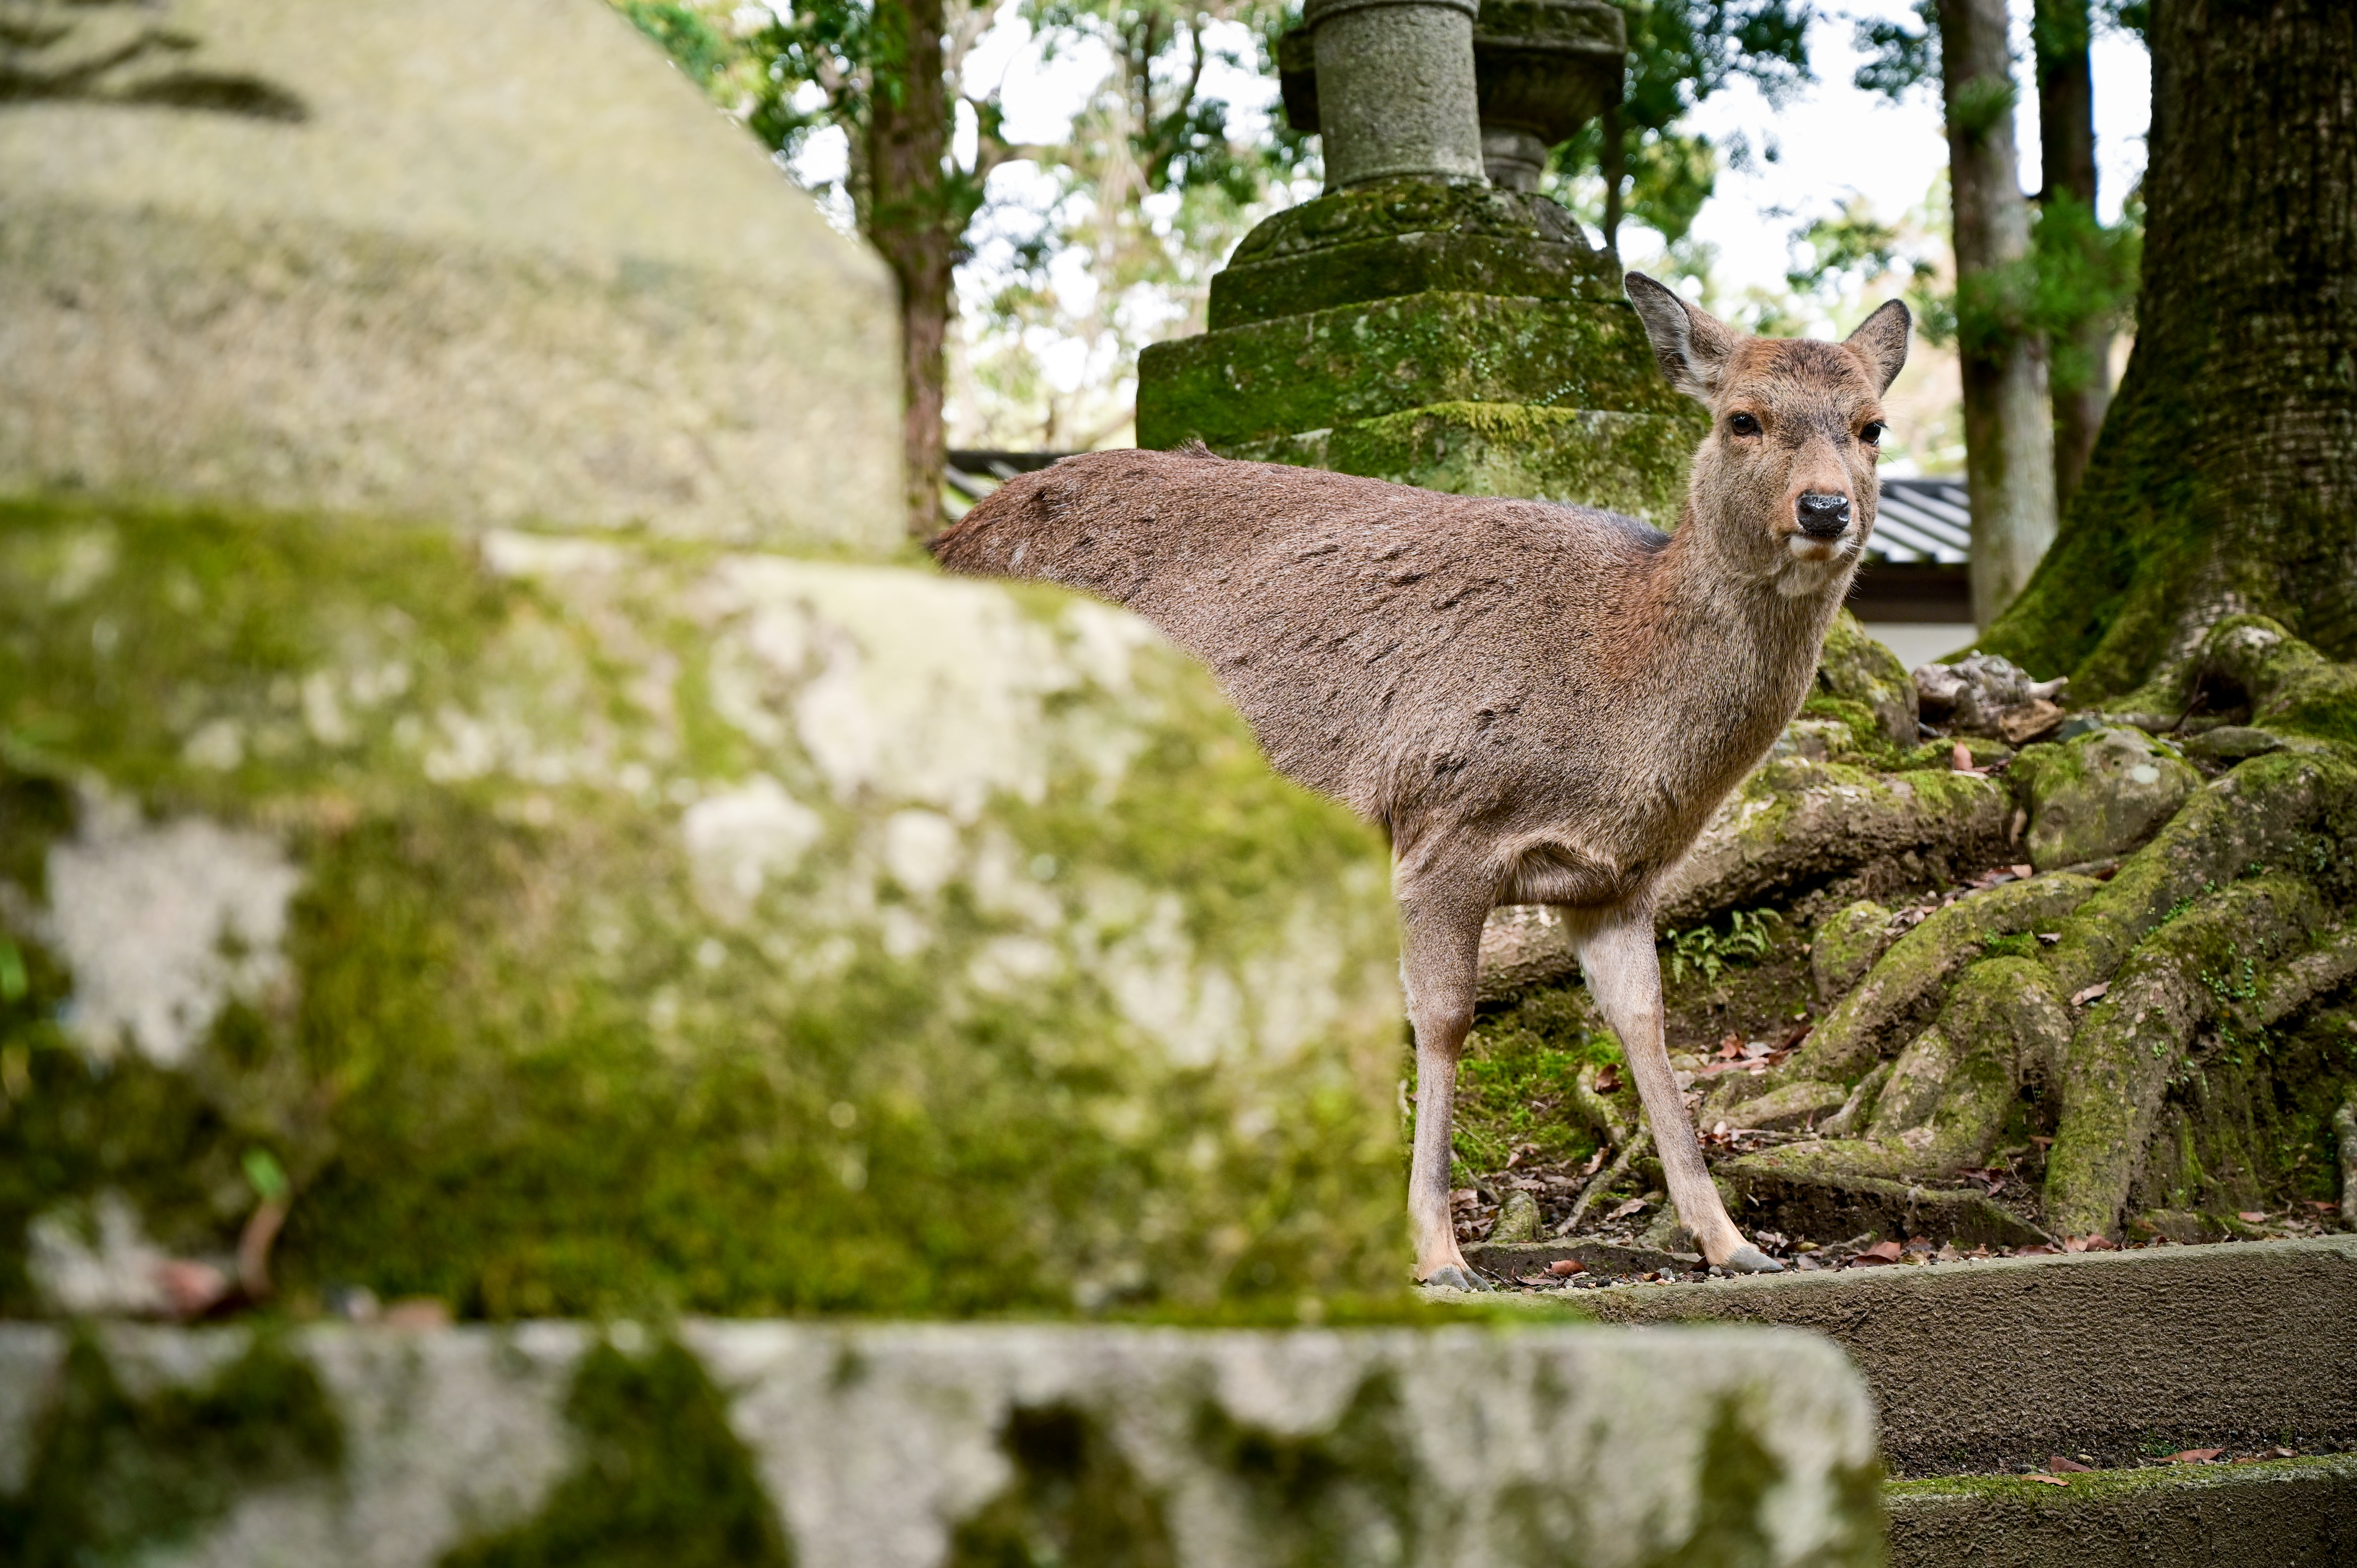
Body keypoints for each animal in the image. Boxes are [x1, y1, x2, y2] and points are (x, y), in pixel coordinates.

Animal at [928, 274, 1904, 1292]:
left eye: (1872, 424)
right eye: (1742, 418)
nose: (1825, 509)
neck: (1621, 698)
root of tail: (940, 543)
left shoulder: (1616, 880)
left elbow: (1645, 1026)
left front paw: (1734, 1240)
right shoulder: (1448, 824)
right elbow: (1440, 1020)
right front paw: (1438, 1251)